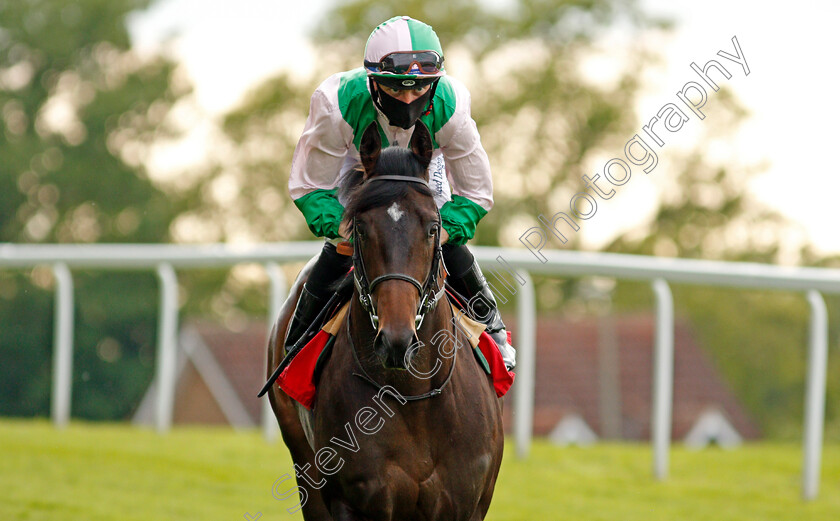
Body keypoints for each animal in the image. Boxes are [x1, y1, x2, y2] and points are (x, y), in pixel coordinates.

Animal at [268, 120, 506, 516]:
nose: (397, 340)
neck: (413, 397)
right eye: (361, 228)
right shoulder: (352, 501)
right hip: (304, 469)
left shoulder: (468, 504)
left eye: (432, 227)